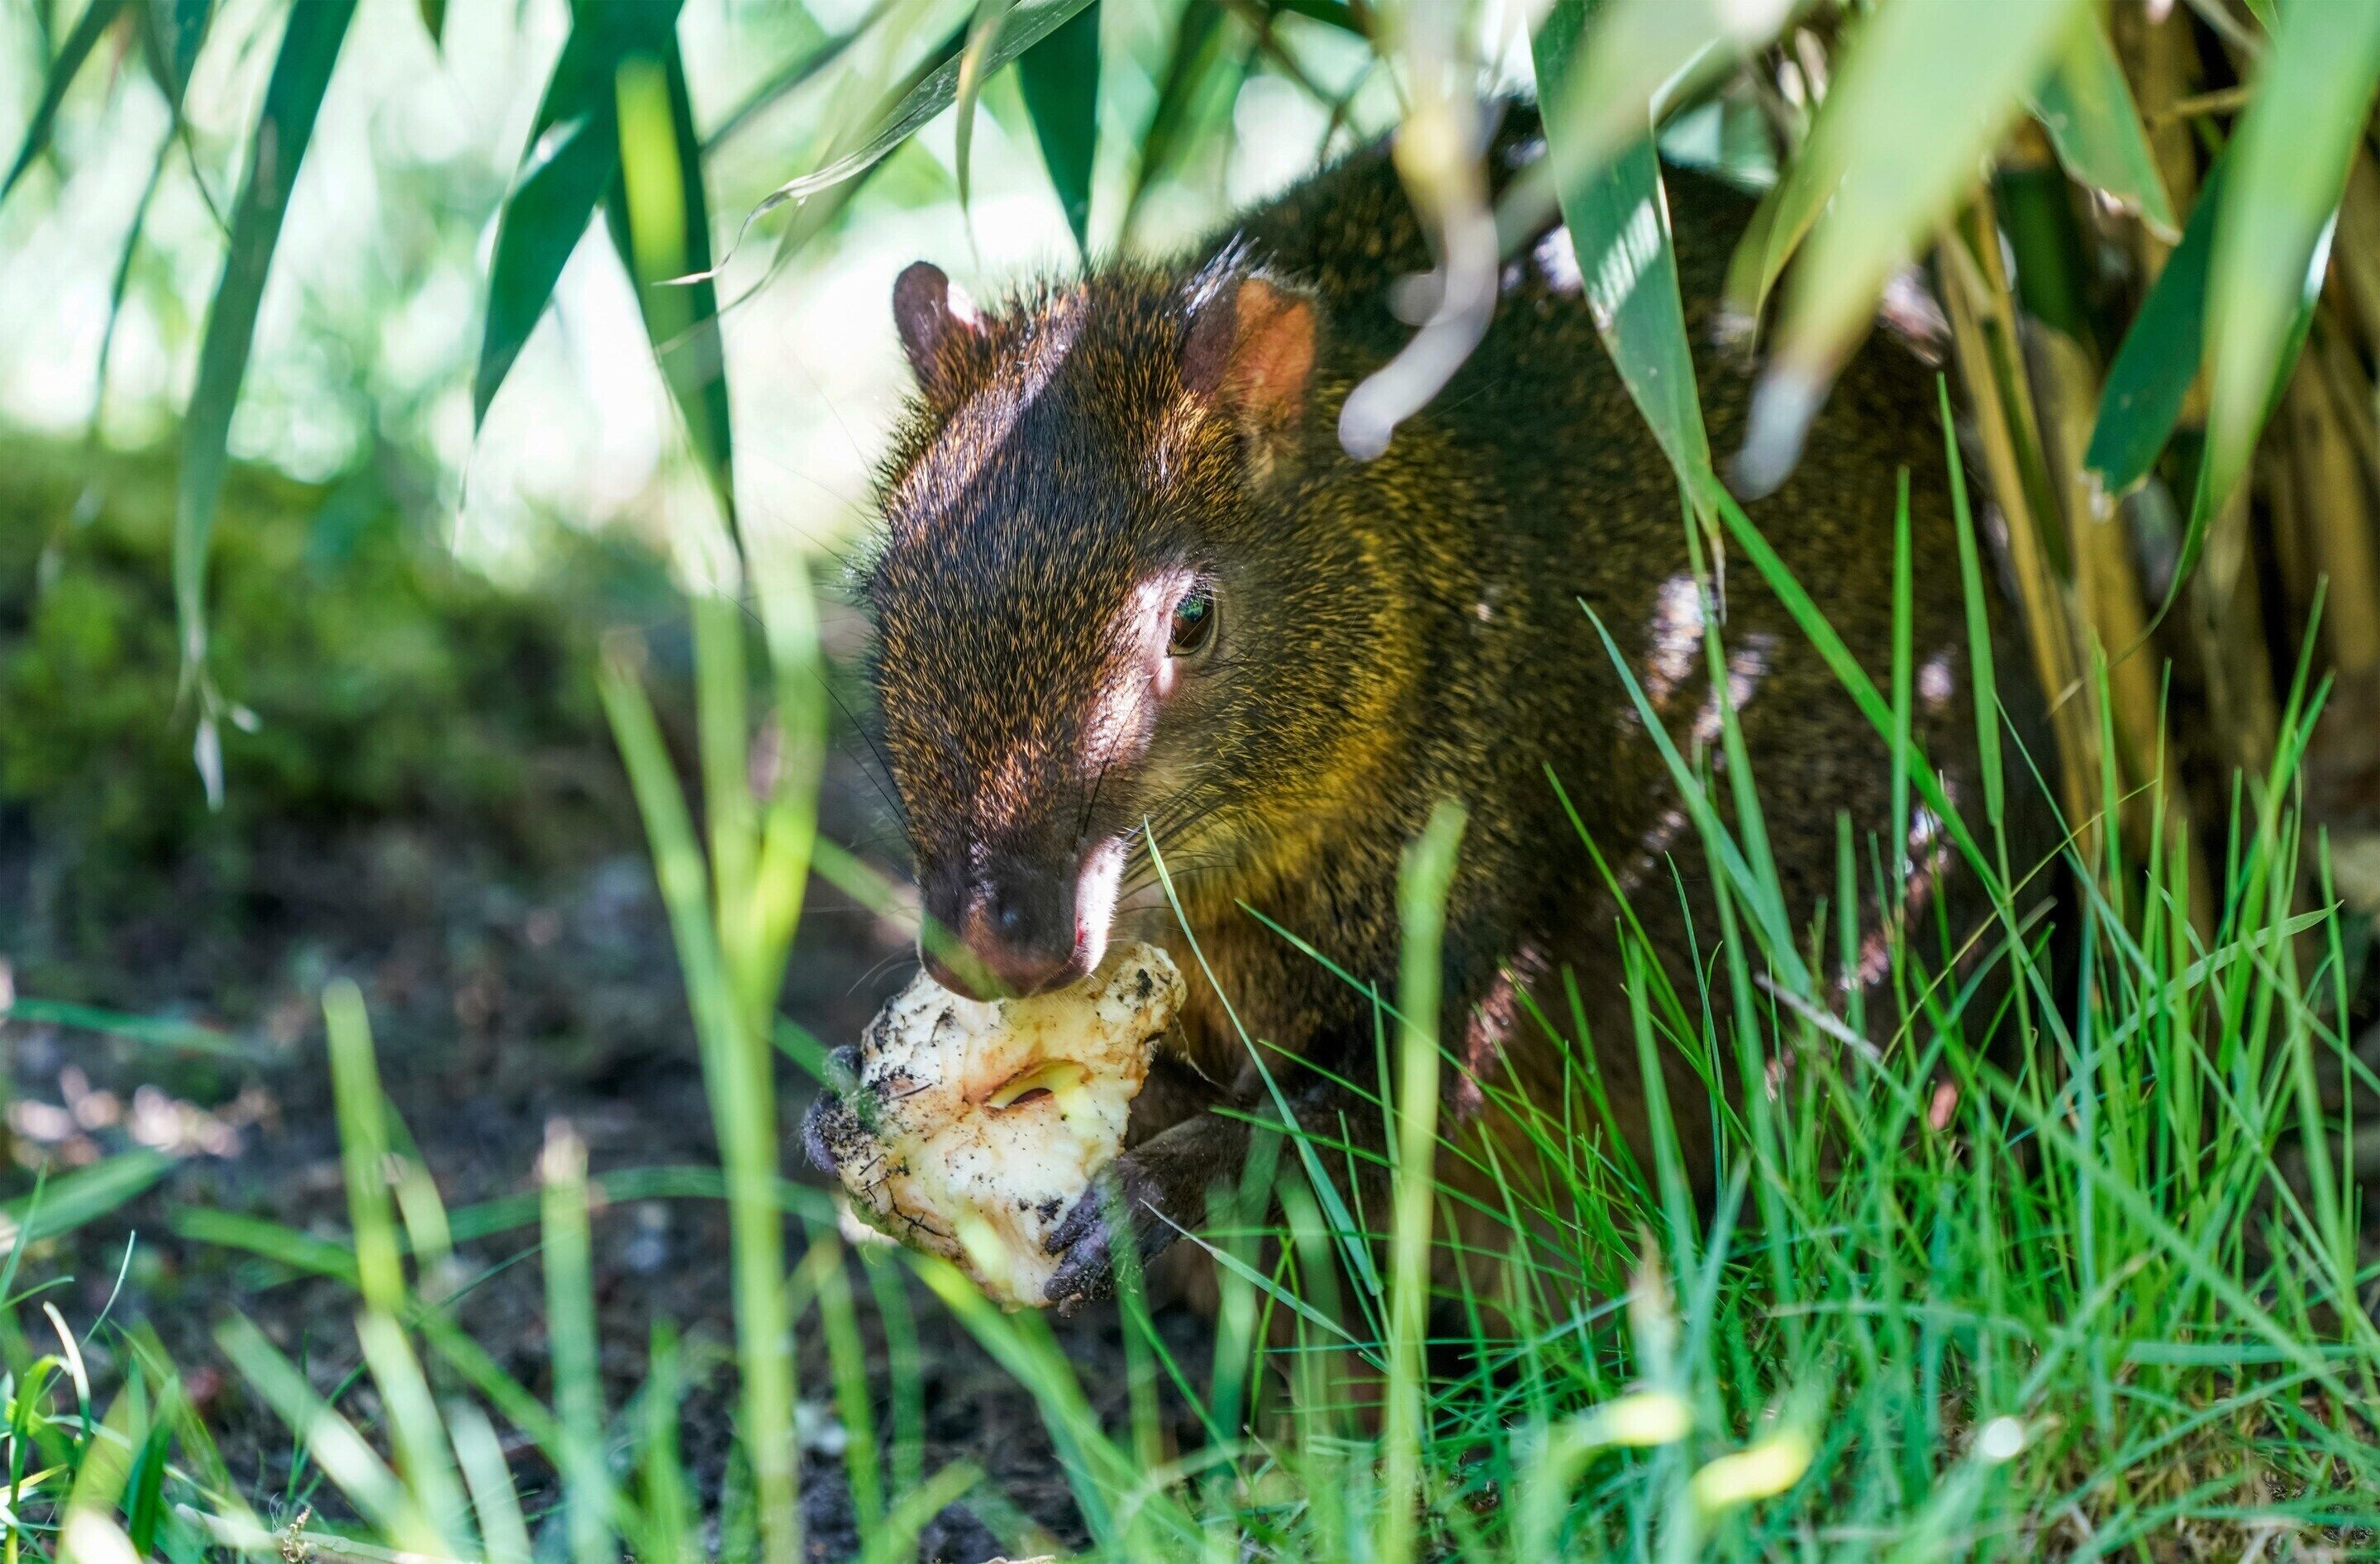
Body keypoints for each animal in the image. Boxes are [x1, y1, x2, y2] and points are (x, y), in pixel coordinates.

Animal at [821, 104, 2041, 1311]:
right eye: (890, 591)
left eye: (1193, 618)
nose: (992, 946)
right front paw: (844, 1105)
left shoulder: (1479, 912)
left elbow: (1353, 1119)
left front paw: (1145, 1196)